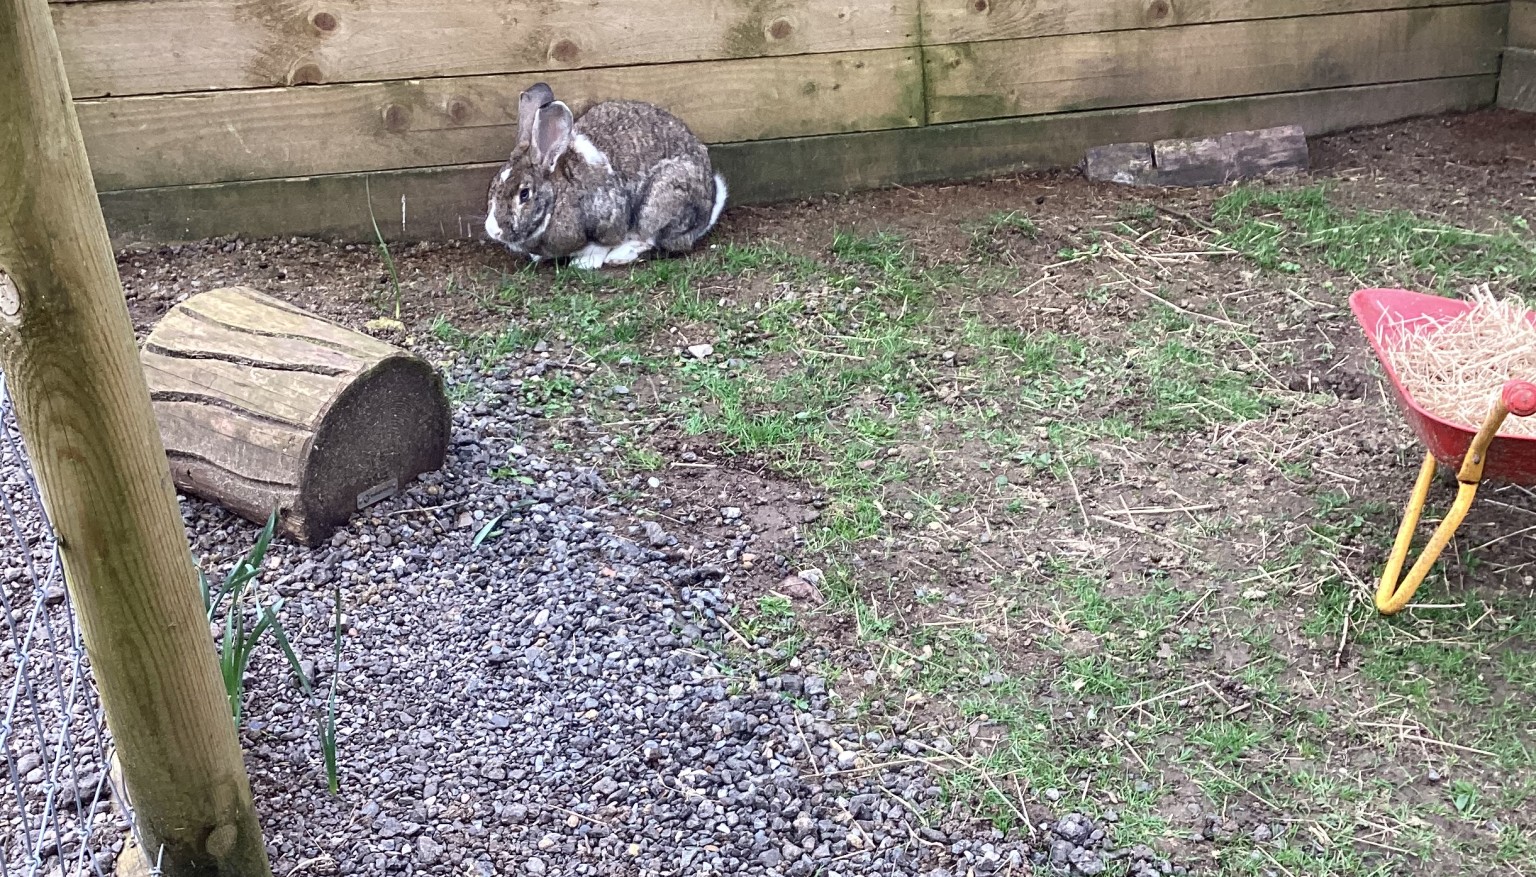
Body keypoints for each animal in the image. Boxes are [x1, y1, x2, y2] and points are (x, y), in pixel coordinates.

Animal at [484, 82, 727, 270]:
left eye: (524, 194)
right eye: (493, 188)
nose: (494, 230)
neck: (557, 197)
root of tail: (707, 210)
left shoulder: (609, 218)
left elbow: (603, 243)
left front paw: (584, 263)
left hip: (660, 201)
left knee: (652, 237)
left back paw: (620, 256)